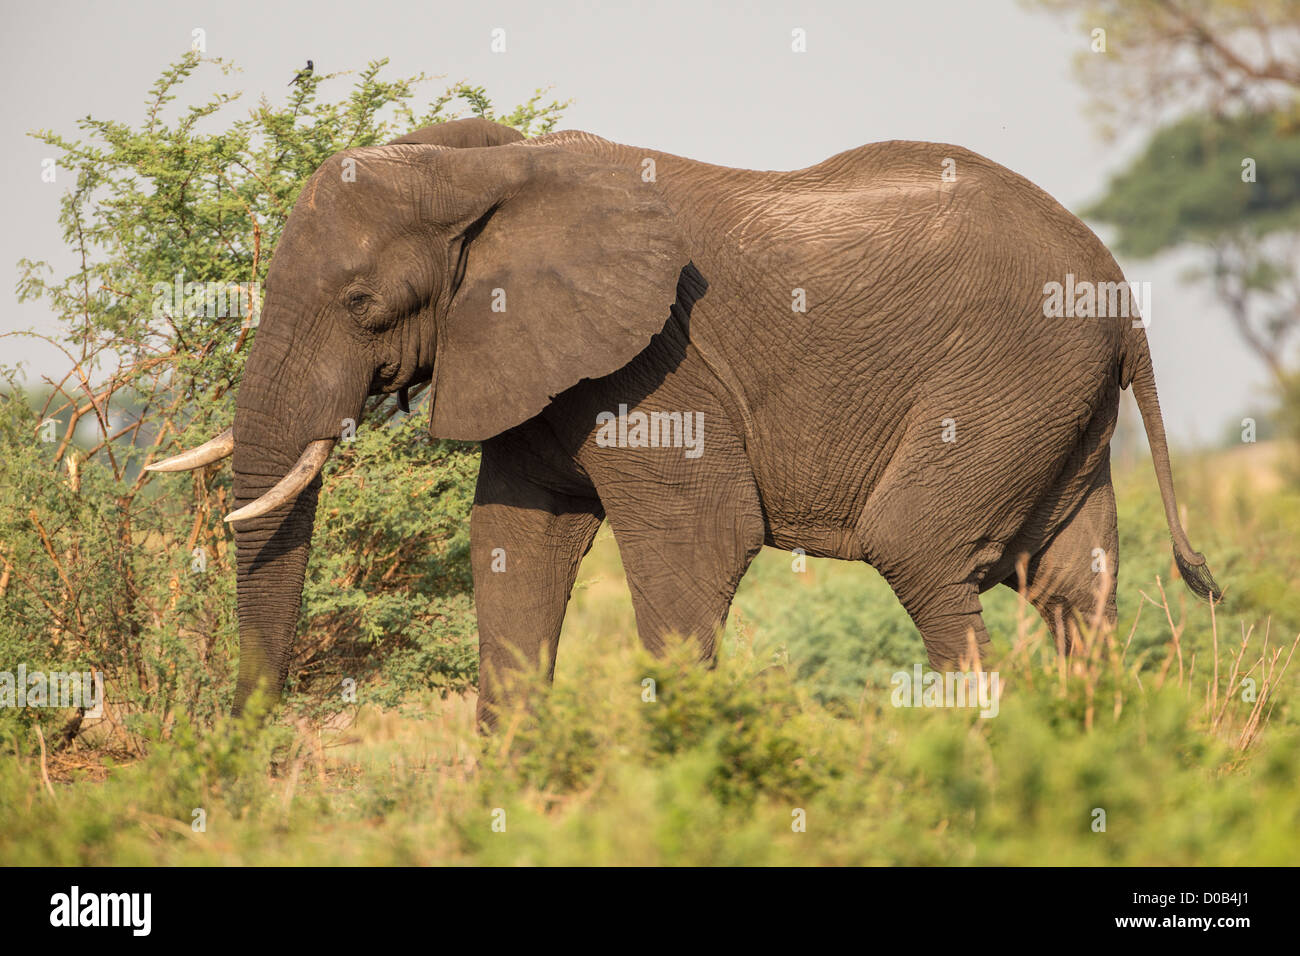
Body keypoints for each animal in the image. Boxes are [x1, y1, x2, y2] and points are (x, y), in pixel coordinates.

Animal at [149, 115, 1216, 723]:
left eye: (363, 302)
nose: (247, 745)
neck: (482, 167)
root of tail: (1118, 288)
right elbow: (512, 543)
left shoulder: (663, 366)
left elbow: (697, 545)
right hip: (1058, 404)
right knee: (1073, 582)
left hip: (1007, 377)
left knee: (920, 546)